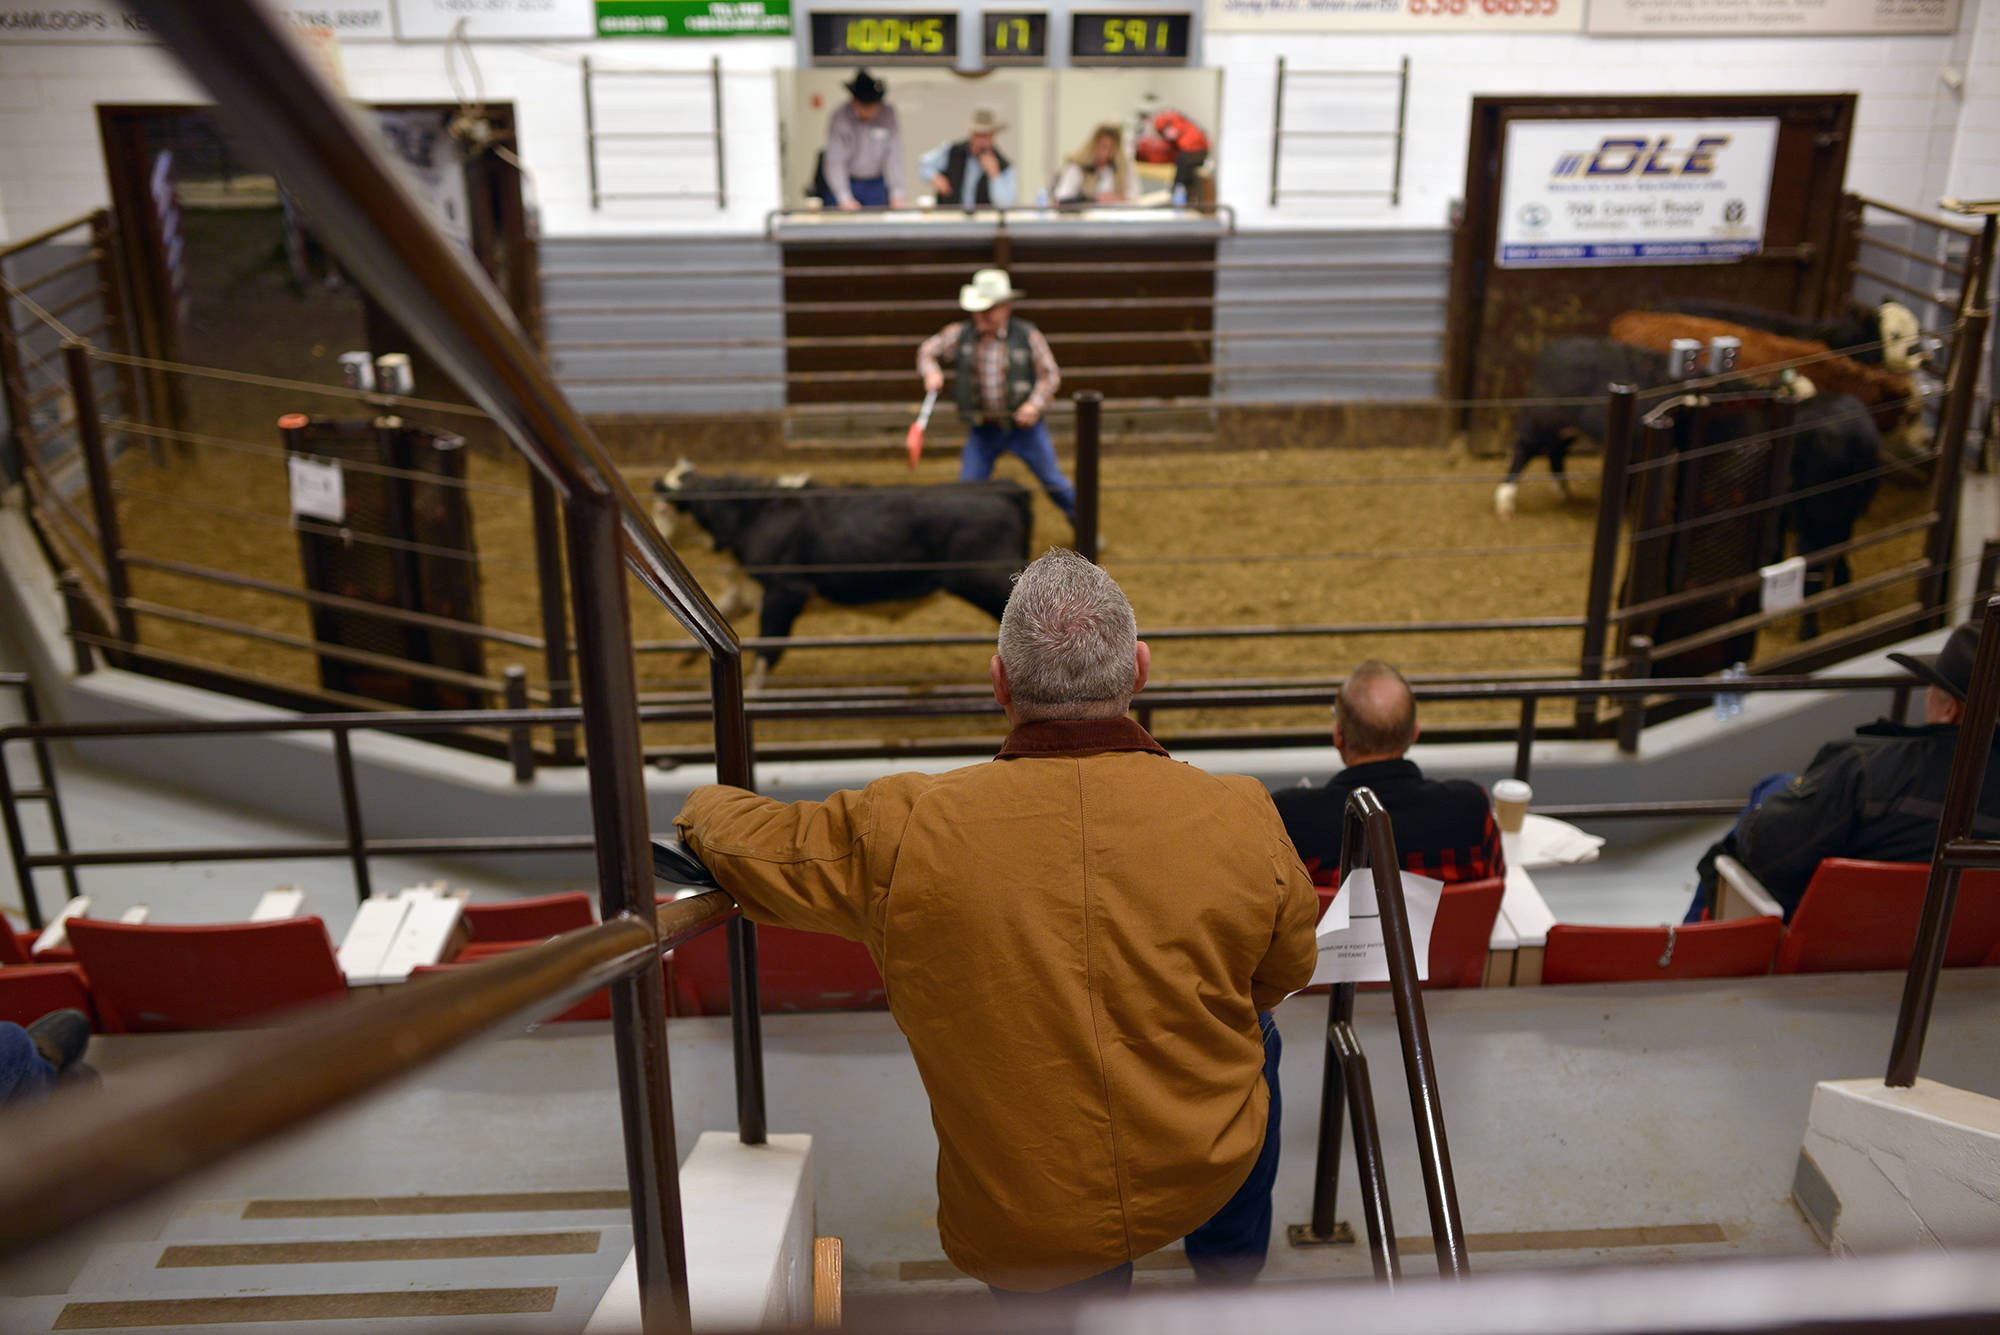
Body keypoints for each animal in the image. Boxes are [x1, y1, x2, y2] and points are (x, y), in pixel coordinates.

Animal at [652, 463, 1032, 683]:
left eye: (664, 509)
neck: (757, 514)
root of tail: (1002, 488)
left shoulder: (784, 592)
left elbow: (767, 653)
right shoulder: (749, 589)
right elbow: (722, 617)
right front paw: (683, 659)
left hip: (989, 581)